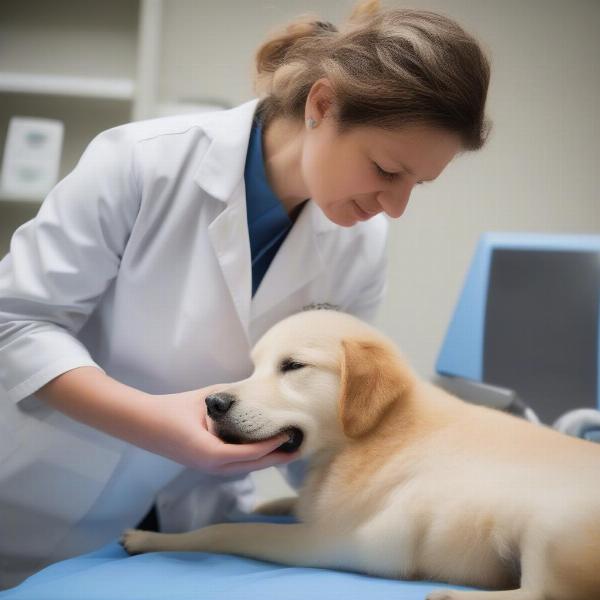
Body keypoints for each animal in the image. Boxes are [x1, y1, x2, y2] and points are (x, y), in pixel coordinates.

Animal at [122, 310, 600, 600]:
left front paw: (152, 539)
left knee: (541, 595)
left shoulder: (323, 541)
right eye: (254, 368)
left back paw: (449, 594)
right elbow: (289, 503)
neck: (373, 433)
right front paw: (274, 502)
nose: (213, 403)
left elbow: (220, 531)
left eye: (292, 366)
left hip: (550, 525)